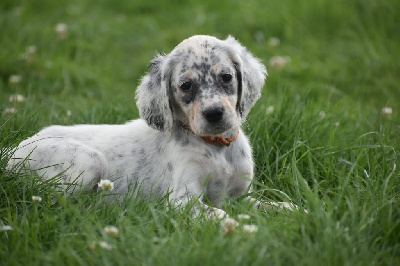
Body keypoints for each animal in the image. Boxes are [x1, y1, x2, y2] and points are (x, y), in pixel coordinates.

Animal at [7, 35, 268, 218]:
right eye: (186, 86)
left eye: (226, 77)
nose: (214, 114)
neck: (217, 147)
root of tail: (9, 151)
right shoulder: (182, 201)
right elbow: (222, 215)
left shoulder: (240, 196)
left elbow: (269, 205)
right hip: (89, 161)